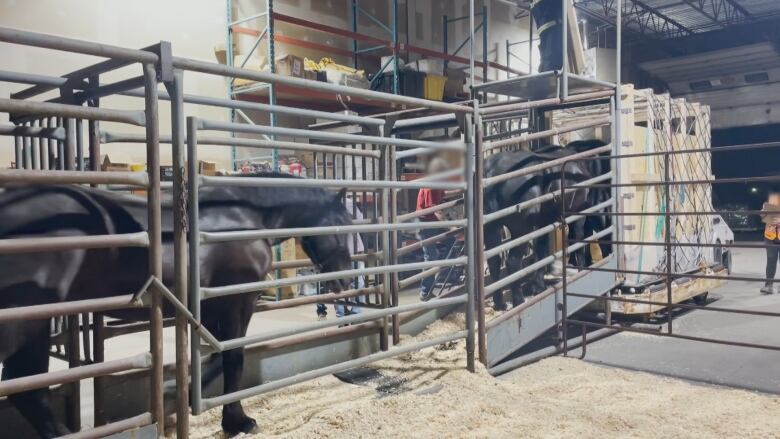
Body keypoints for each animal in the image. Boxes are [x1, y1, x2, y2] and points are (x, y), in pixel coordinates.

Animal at [0, 174, 354, 438]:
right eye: (342, 223)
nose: (345, 281)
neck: (246, 218)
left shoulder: (209, 307)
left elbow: (214, 356)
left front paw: (173, 395)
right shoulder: (235, 303)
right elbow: (233, 357)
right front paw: (237, 420)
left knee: (28, 389)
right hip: (25, 322)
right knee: (24, 387)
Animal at [482, 140, 608, 310]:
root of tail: (492, 170)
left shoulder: (544, 222)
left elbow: (542, 251)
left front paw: (539, 286)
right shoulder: (578, 213)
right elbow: (579, 240)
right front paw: (581, 268)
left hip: (491, 228)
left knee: (494, 262)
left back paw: (499, 303)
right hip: (522, 229)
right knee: (512, 262)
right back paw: (518, 301)